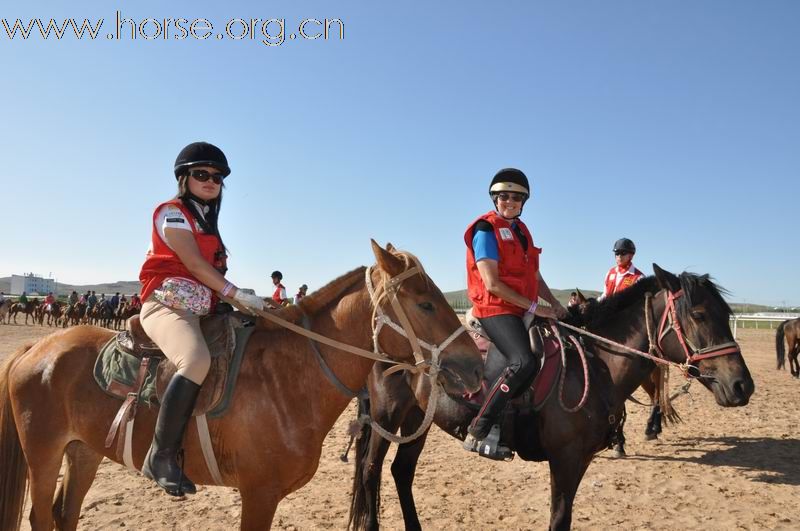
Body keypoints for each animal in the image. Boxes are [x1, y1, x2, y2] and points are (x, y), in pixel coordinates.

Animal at [0, 242, 482, 531]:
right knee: (41, 516)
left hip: (83, 451)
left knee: (65, 513)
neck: (289, 379)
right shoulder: (259, 494)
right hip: (43, 454)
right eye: (425, 303)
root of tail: (34, 348)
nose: (477, 366)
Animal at [346, 266, 752, 531]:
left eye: (726, 313)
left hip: (419, 418)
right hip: (387, 415)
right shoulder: (565, 458)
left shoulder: (580, 460)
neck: (594, 362)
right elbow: (558, 519)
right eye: (698, 314)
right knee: (370, 471)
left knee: (401, 472)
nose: (742, 386)